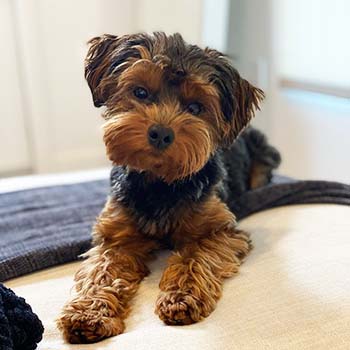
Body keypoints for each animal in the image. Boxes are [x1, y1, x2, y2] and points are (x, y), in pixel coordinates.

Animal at [57, 31, 282, 344]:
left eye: (196, 108)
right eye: (140, 92)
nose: (161, 133)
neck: (160, 183)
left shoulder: (220, 231)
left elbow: (196, 257)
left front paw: (181, 297)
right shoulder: (117, 237)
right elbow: (102, 270)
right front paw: (89, 312)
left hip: (264, 155)